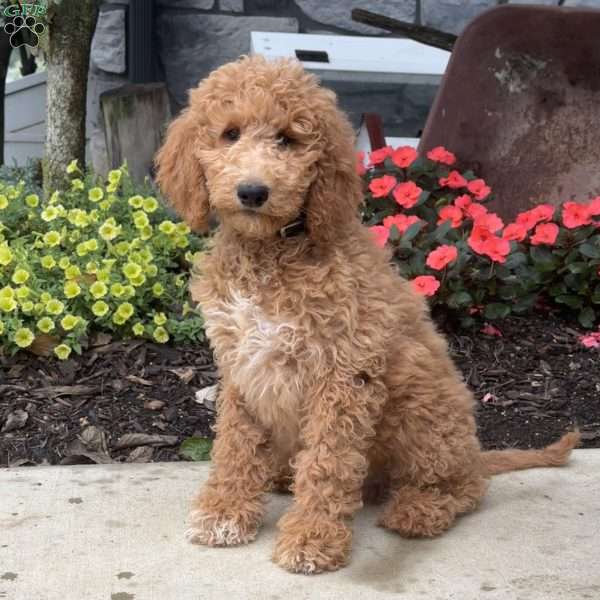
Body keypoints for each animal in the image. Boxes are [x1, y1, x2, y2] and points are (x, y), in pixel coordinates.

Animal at [157, 57, 580, 576]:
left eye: (287, 139)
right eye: (229, 133)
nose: (253, 191)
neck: (271, 253)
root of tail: (475, 454)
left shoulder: (341, 372)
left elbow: (327, 462)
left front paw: (312, 538)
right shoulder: (241, 365)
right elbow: (235, 444)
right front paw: (226, 512)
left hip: (422, 409)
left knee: (462, 487)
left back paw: (419, 508)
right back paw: (282, 475)